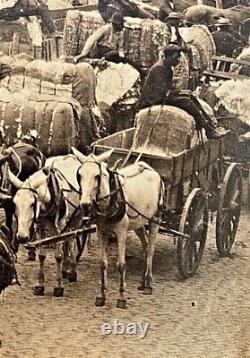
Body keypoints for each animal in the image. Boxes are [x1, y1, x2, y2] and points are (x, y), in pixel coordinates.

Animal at [7, 154, 82, 296]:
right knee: (67, 243)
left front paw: (58, 286)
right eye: (14, 203)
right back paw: (65, 269)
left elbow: (58, 256)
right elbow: (42, 256)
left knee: (71, 241)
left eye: (32, 203)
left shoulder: (60, 227)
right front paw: (40, 285)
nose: (22, 237)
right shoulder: (40, 226)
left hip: (75, 219)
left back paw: (73, 271)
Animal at [72, 147, 164, 310]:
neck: (111, 200)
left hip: (155, 220)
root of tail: (152, 170)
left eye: (97, 176)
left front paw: (121, 297)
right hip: (139, 223)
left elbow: (121, 265)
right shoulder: (101, 232)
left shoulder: (121, 232)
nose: (85, 205)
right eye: (79, 175)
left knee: (151, 250)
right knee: (146, 246)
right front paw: (101, 295)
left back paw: (149, 284)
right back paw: (142, 281)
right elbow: (103, 264)